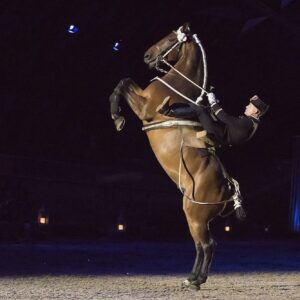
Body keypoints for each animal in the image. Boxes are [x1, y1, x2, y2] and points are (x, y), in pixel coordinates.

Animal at [110, 23, 234, 290]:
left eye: (169, 39)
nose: (147, 55)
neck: (177, 87)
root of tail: (229, 189)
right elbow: (124, 81)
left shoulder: (144, 108)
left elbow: (124, 83)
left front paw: (117, 117)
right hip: (193, 215)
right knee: (200, 245)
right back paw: (191, 278)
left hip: (195, 215)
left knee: (207, 244)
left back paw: (197, 281)